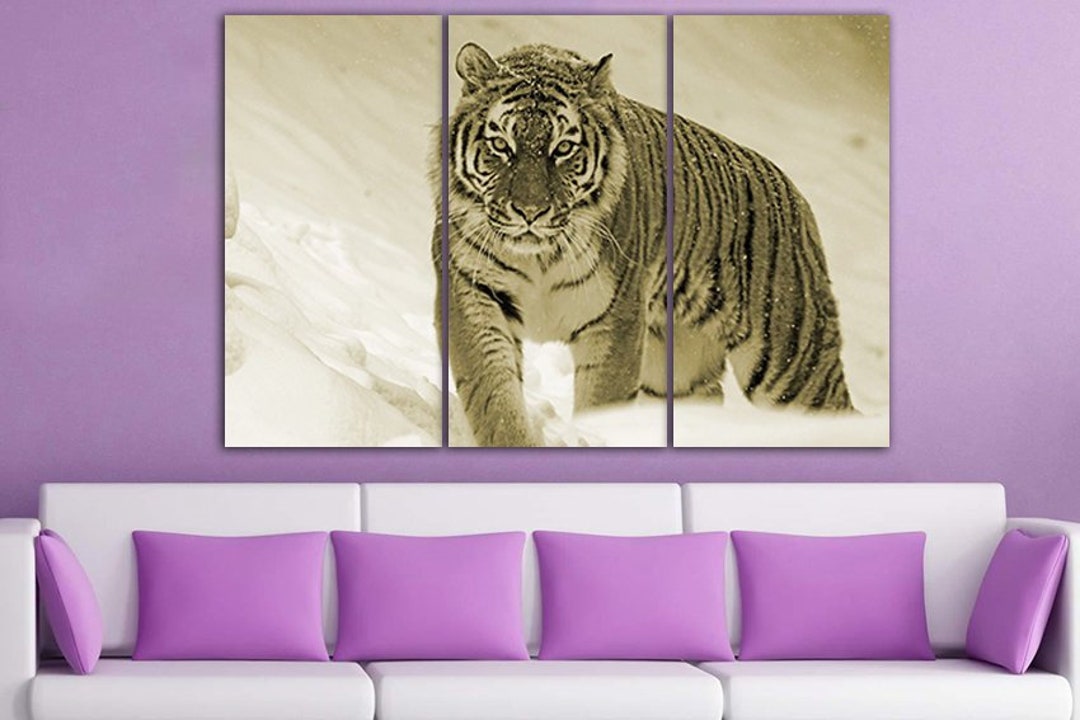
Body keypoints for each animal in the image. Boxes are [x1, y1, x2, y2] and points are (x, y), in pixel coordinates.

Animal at [435, 42, 854, 447]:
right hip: (679, 369)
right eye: (501, 145)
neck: (540, 257)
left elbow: (601, 405)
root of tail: (797, 198)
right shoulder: (472, 291)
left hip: (791, 362)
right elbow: (494, 393)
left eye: (563, 148)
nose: (530, 212)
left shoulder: (616, 321)